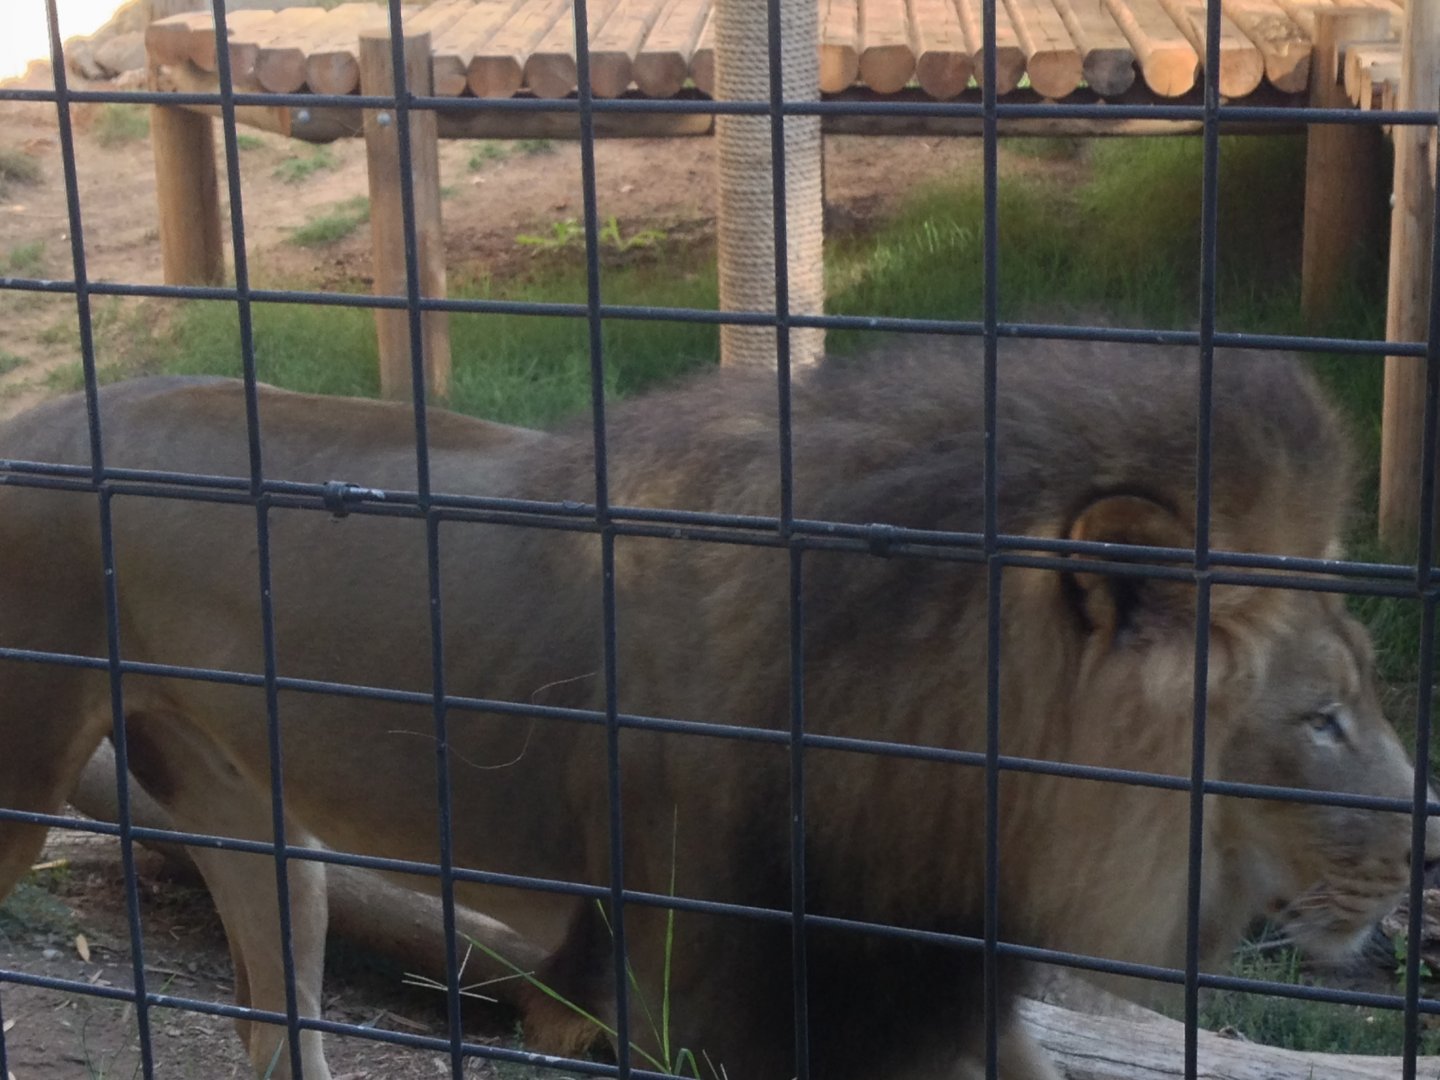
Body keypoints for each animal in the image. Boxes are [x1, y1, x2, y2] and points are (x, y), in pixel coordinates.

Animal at [0, 335, 1435, 1080]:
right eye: (1322, 720)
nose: (1427, 846)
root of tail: (39, 411)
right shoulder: (699, 969)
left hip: (257, 823)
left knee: (273, 1007)